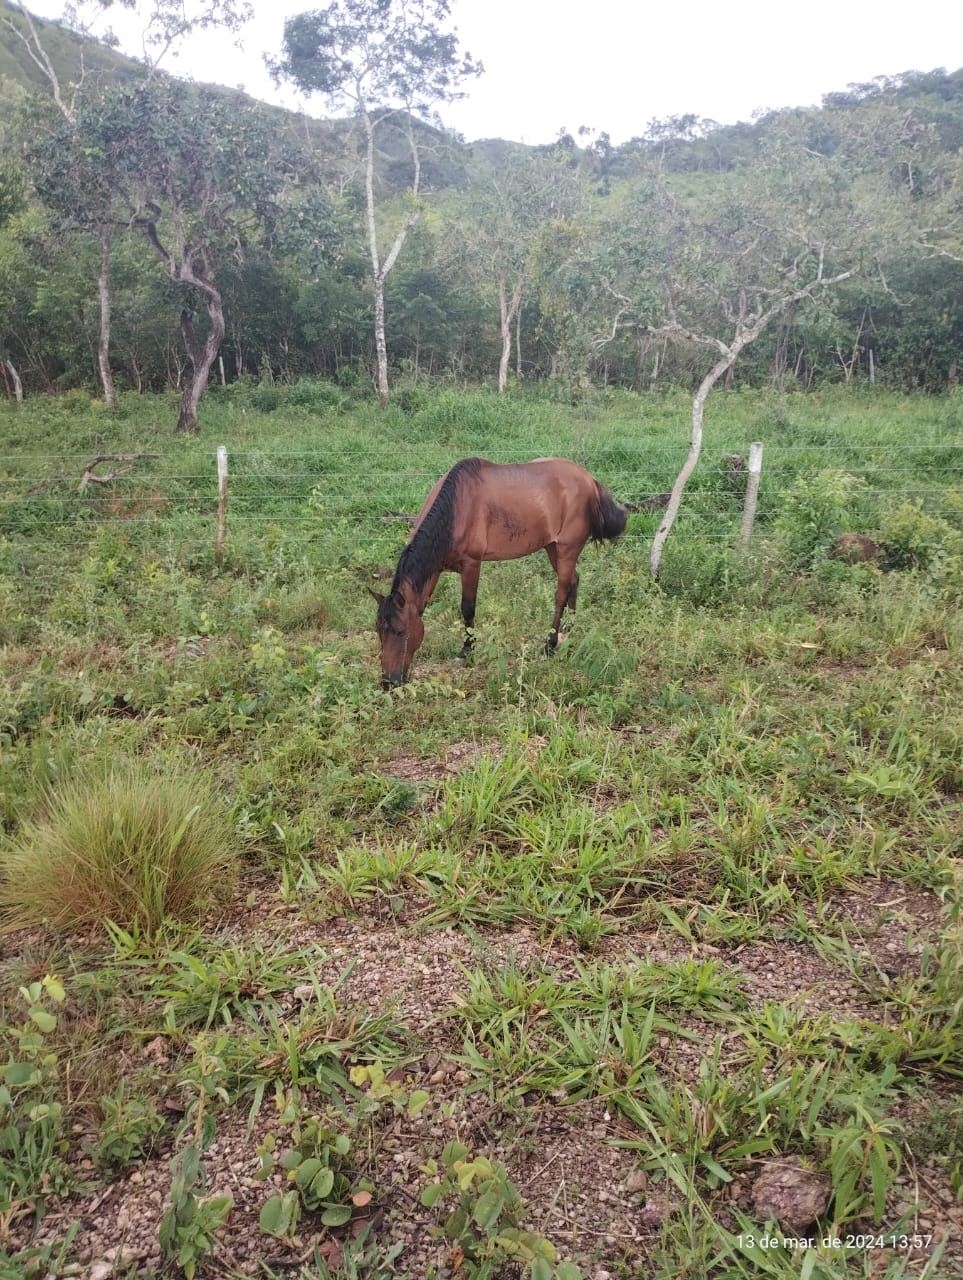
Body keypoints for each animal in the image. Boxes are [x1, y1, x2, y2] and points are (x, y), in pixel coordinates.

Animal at [371, 455, 627, 686]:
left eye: (400, 631)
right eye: (379, 632)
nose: (388, 682)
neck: (456, 509)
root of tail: (590, 481)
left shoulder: (472, 565)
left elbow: (467, 608)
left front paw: (466, 651)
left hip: (567, 549)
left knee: (561, 593)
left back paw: (550, 644)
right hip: (552, 548)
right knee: (574, 580)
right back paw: (569, 629)